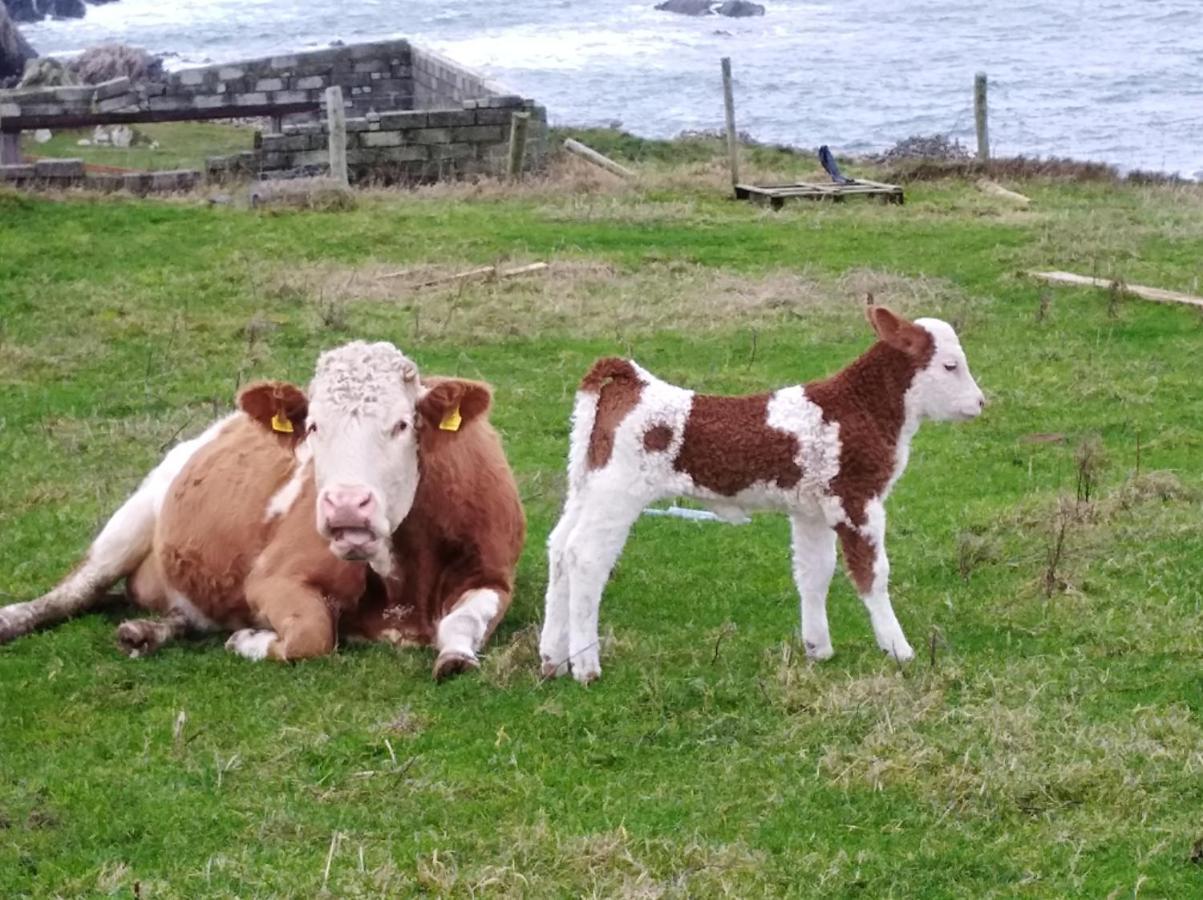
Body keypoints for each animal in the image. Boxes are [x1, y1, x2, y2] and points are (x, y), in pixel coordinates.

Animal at [0, 341, 526, 678]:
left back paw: (146, 632)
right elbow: (312, 633)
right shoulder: (273, 576)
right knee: (74, 591)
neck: (403, 590)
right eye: (313, 426)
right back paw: (14, 619)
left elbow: (462, 622)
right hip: (133, 516)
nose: (345, 505)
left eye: (402, 424)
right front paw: (249, 641)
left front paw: (455, 656)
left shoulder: (494, 574)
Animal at [541, 304, 981, 683]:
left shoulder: (812, 510)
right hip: (617, 494)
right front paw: (898, 649)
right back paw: (586, 666)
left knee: (559, 548)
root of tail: (632, 381)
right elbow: (873, 574)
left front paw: (818, 648)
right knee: (585, 557)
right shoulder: (857, 501)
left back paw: (551, 659)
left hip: (586, 487)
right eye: (950, 365)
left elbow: (814, 572)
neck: (858, 407)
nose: (980, 402)